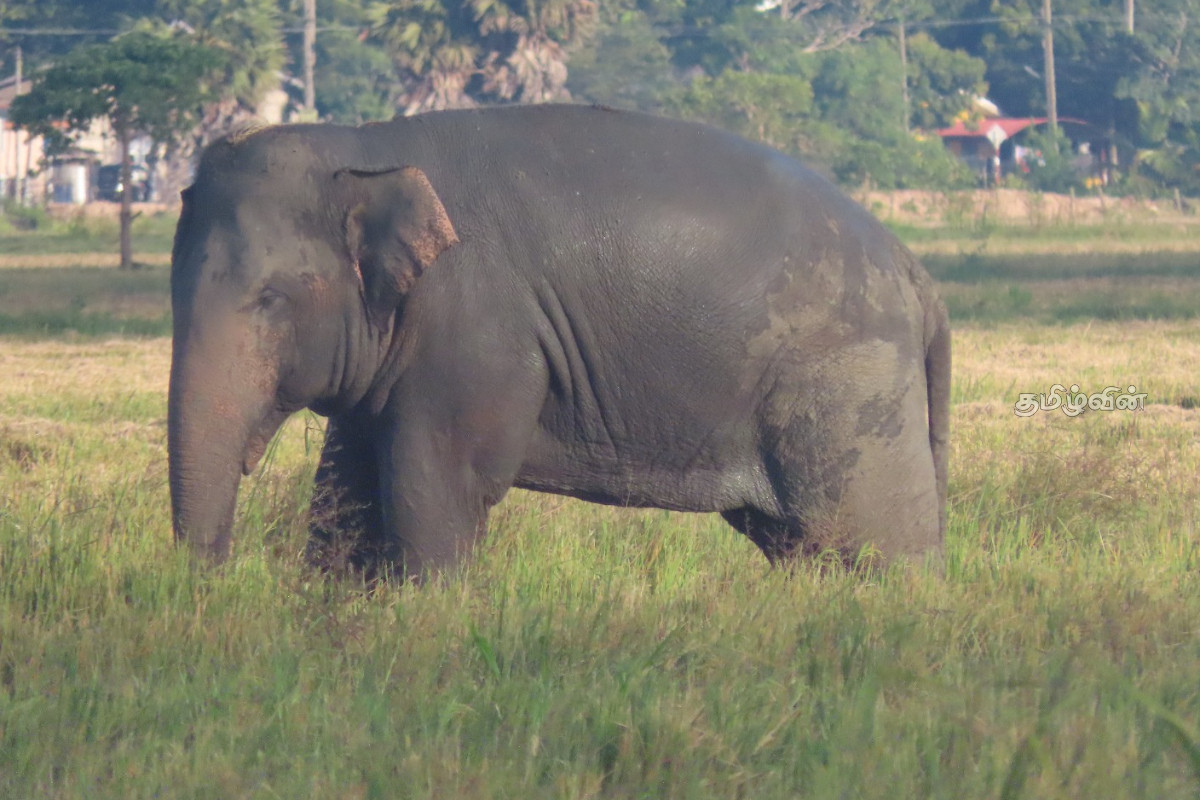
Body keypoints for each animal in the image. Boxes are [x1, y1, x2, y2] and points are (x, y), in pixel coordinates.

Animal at [168, 104, 950, 576]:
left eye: (271, 300)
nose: (216, 587)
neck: (365, 146)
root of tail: (917, 274)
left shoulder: (477, 325)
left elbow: (438, 483)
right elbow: (347, 490)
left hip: (850, 390)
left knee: (872, 546)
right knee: (805, 547)